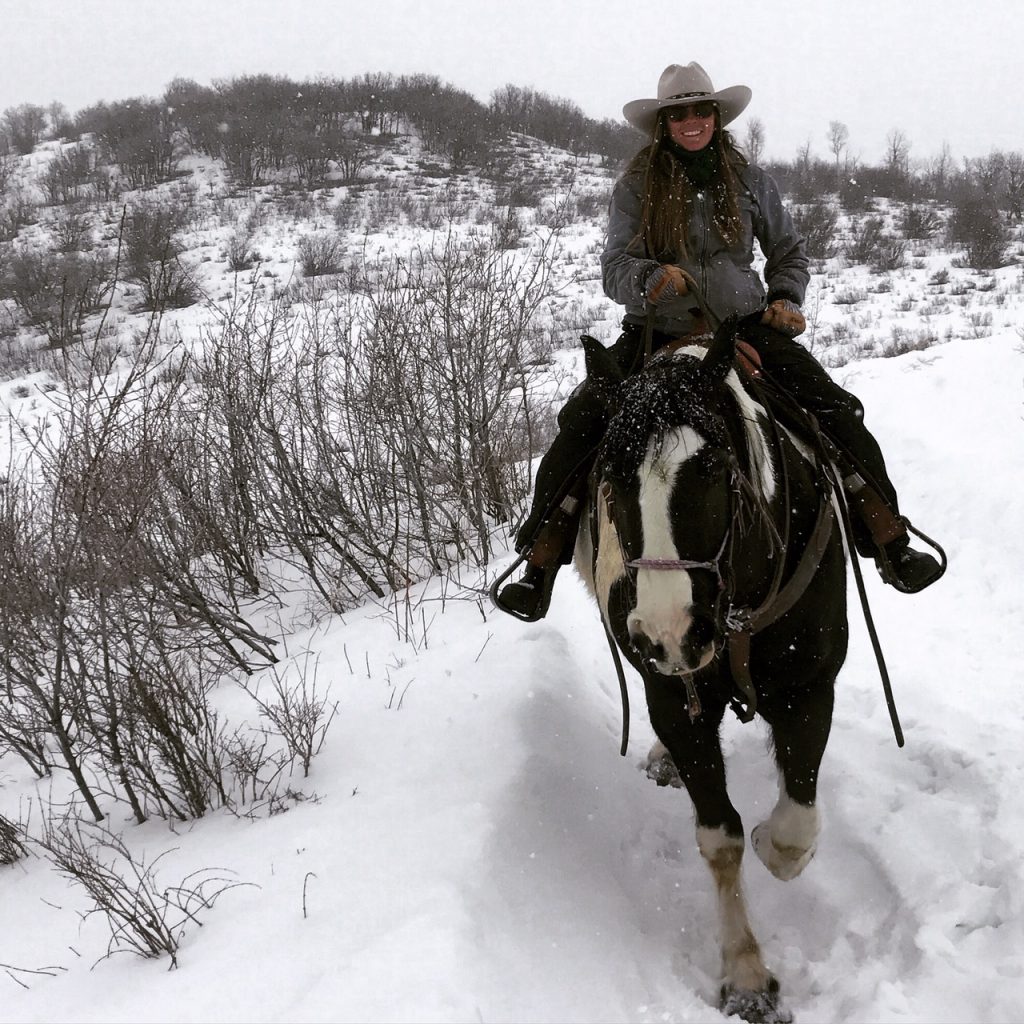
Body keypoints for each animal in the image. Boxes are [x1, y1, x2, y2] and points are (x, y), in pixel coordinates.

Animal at [577, 315, 847, 1019]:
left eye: (713, 465)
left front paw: (773, 843)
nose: (669, 631)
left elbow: (794, 828)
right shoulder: (676, 699)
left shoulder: (811, 683)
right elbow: (719, 837)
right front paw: (747, 976)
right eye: (608, 477)